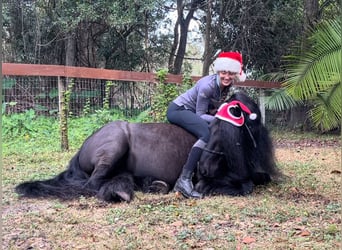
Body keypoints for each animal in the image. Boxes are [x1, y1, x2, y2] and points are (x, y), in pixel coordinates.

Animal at [14, 92, 280, 203]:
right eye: (211, 128)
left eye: (225, 132)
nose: (202, 169)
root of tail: (83, 147)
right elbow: (246, 186)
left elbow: (259, 179)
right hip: (114, 146)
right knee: (91, 184)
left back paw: (151, 184)